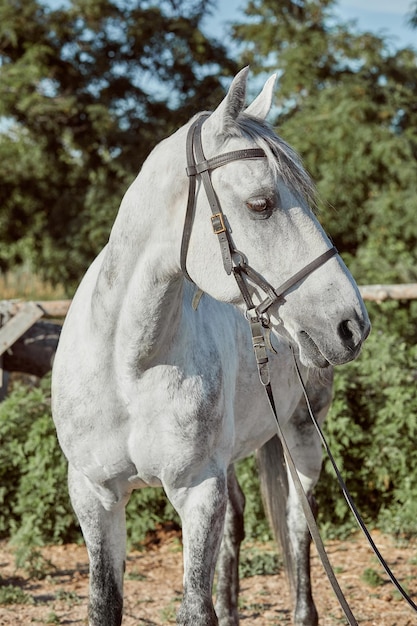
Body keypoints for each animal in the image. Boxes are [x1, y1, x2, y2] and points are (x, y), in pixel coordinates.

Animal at [51, 68, 368, 624]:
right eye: (261, 204)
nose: (351, 324)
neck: (127, 367)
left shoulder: (198, 491)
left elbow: (196, 609)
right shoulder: (95, 497)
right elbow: (105, 603)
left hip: (302, 436)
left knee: (297, 526)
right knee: (239, 522)